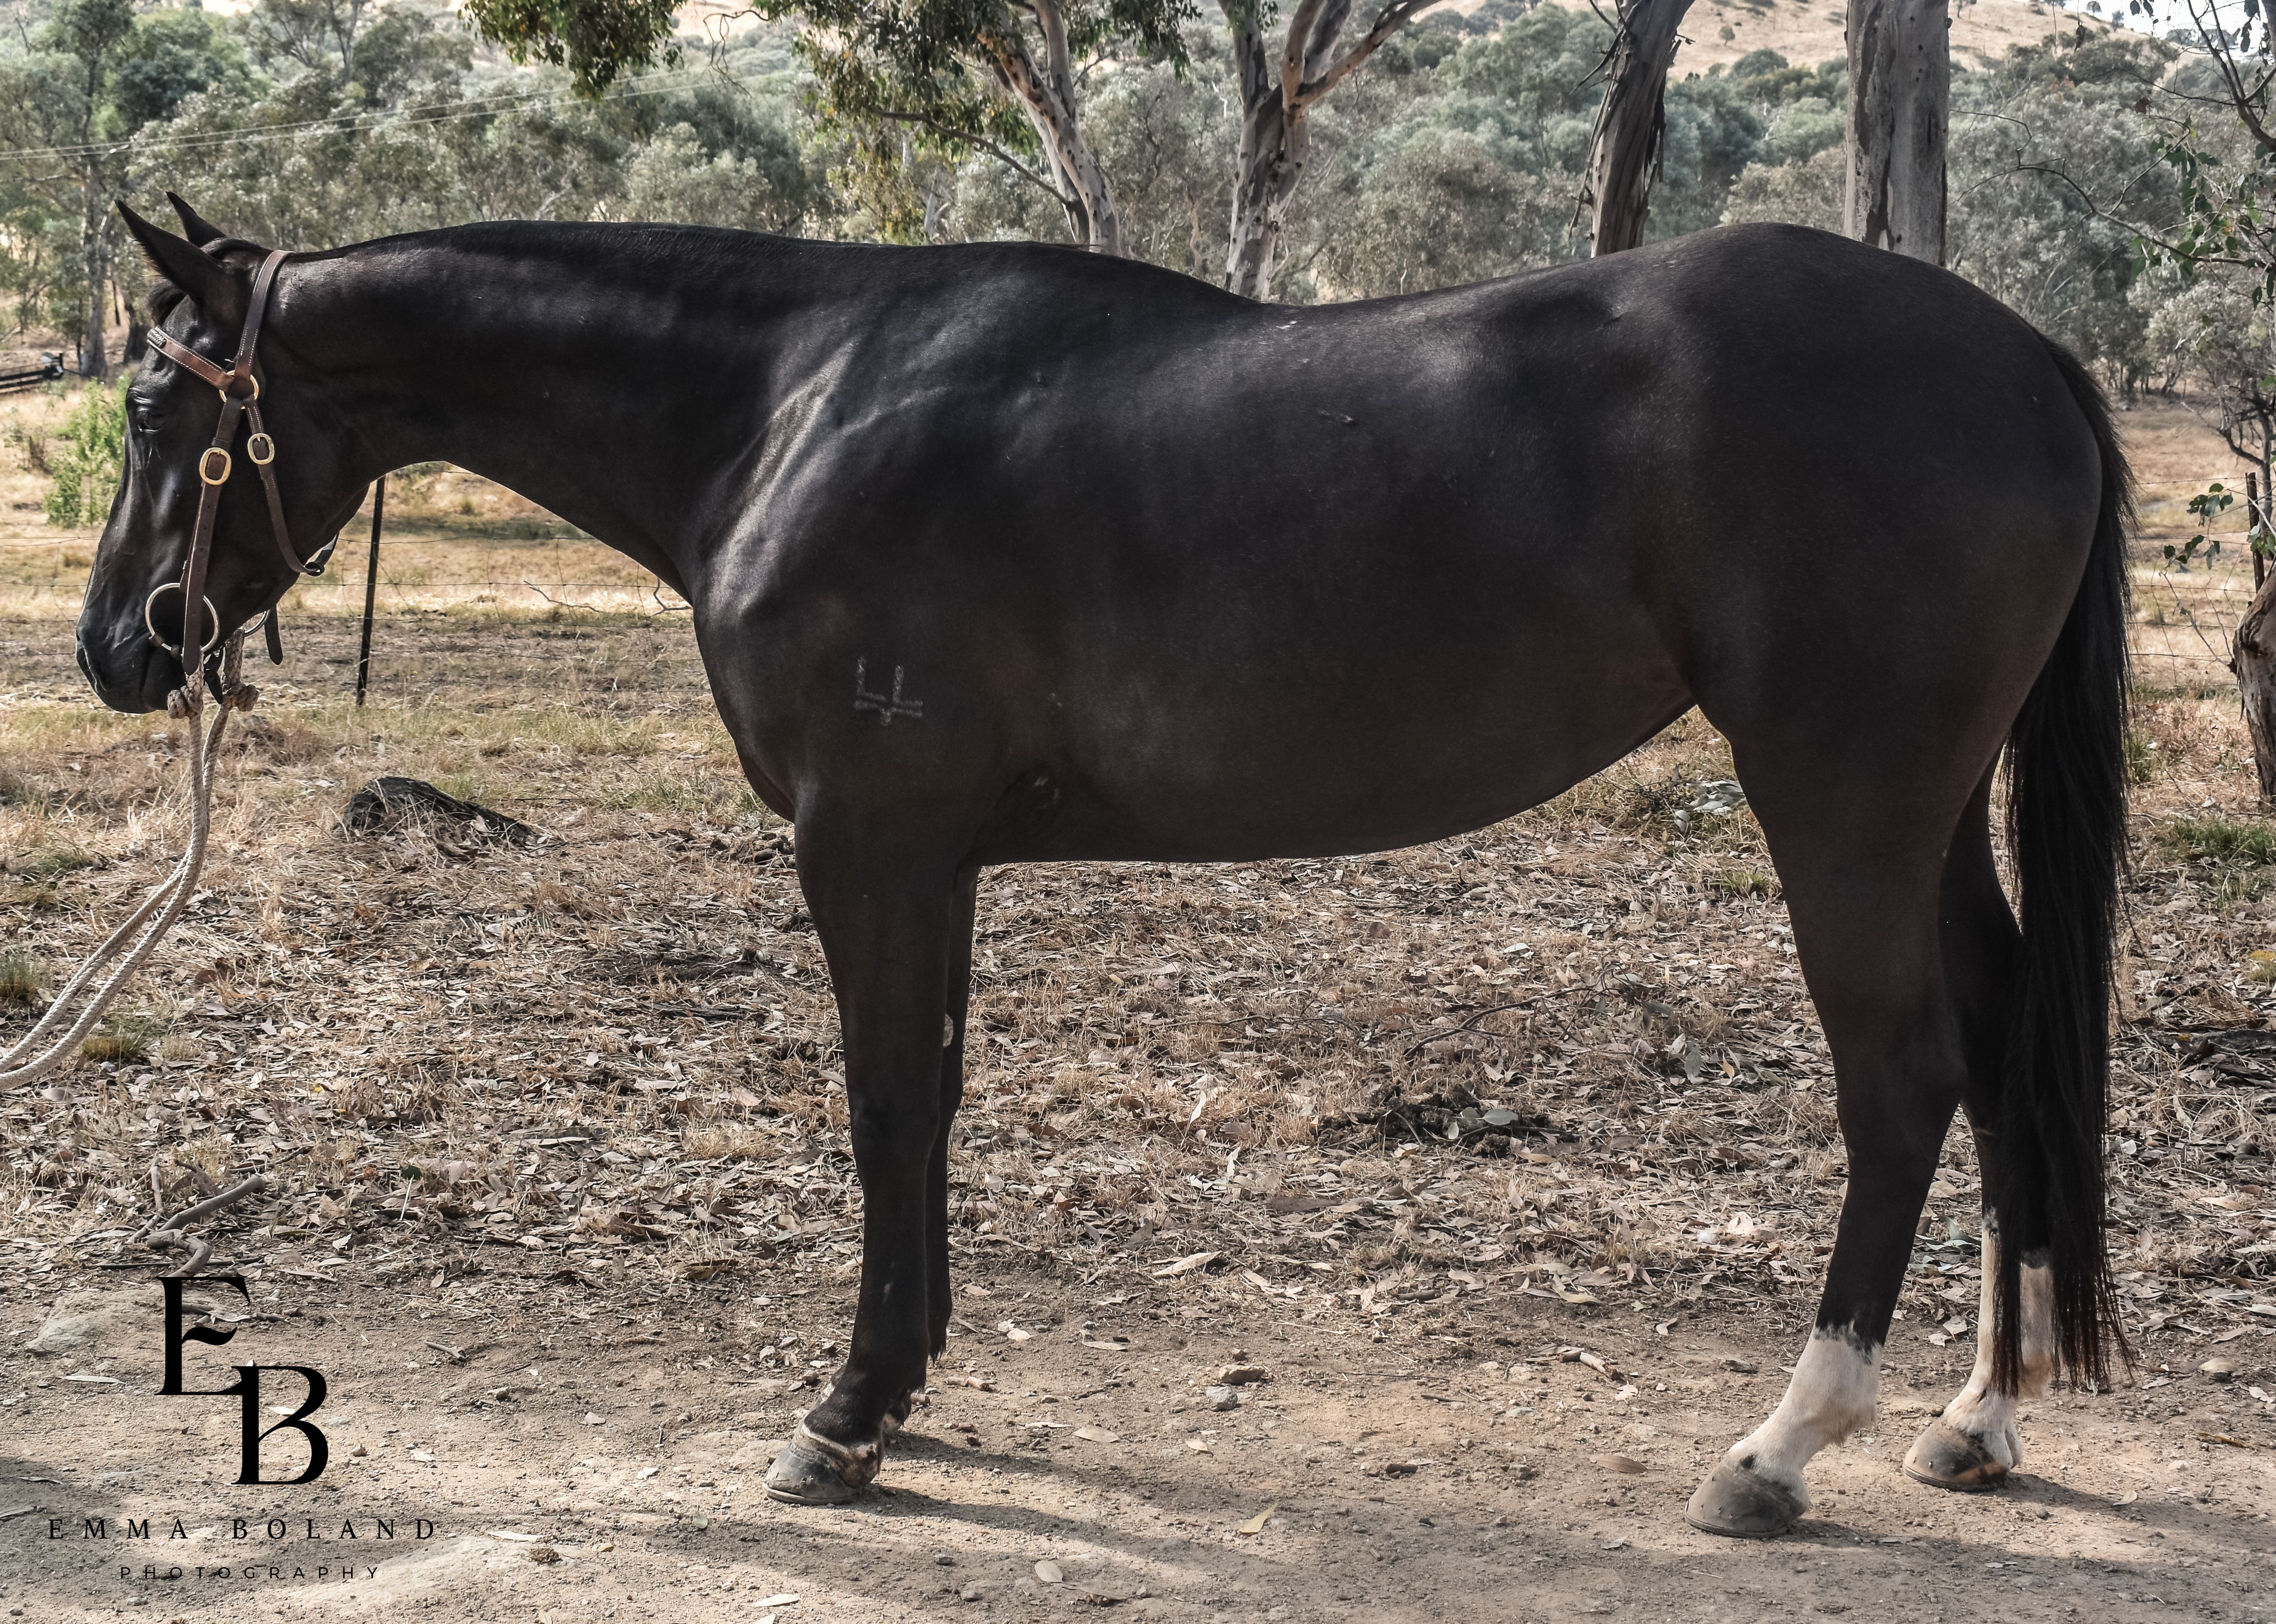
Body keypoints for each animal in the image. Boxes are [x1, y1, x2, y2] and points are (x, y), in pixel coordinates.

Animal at [78, 198, 2130, 1535]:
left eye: (162, 411)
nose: (116, 648)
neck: (792, 406)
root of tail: (2026, 353)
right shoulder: (934, 854)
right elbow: (935, 1097)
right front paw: (907, 1384)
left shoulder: (869, 838)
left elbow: (883, 1100)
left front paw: (844, 1417)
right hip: (1929, 816)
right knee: (2001, 1046)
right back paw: (1976, 1419)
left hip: (1841, 800)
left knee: (1900, 1079)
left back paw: (1781, 1445)